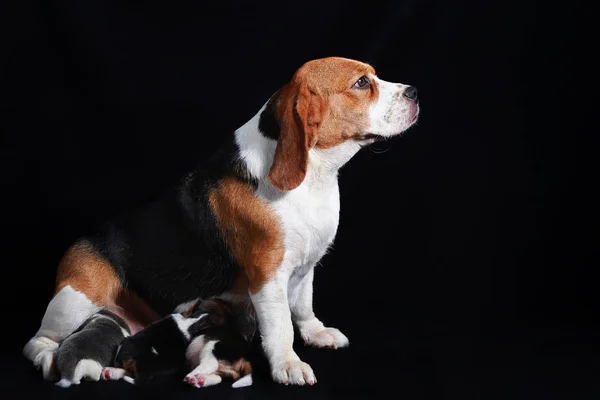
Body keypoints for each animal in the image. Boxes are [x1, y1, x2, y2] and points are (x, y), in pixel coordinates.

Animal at [105, 296, 255, 388]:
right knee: (220, 377)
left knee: (210, 363)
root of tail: (245, 356)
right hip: (222, 367)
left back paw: (192, 376)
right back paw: (199, 380)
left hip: (213, 346)